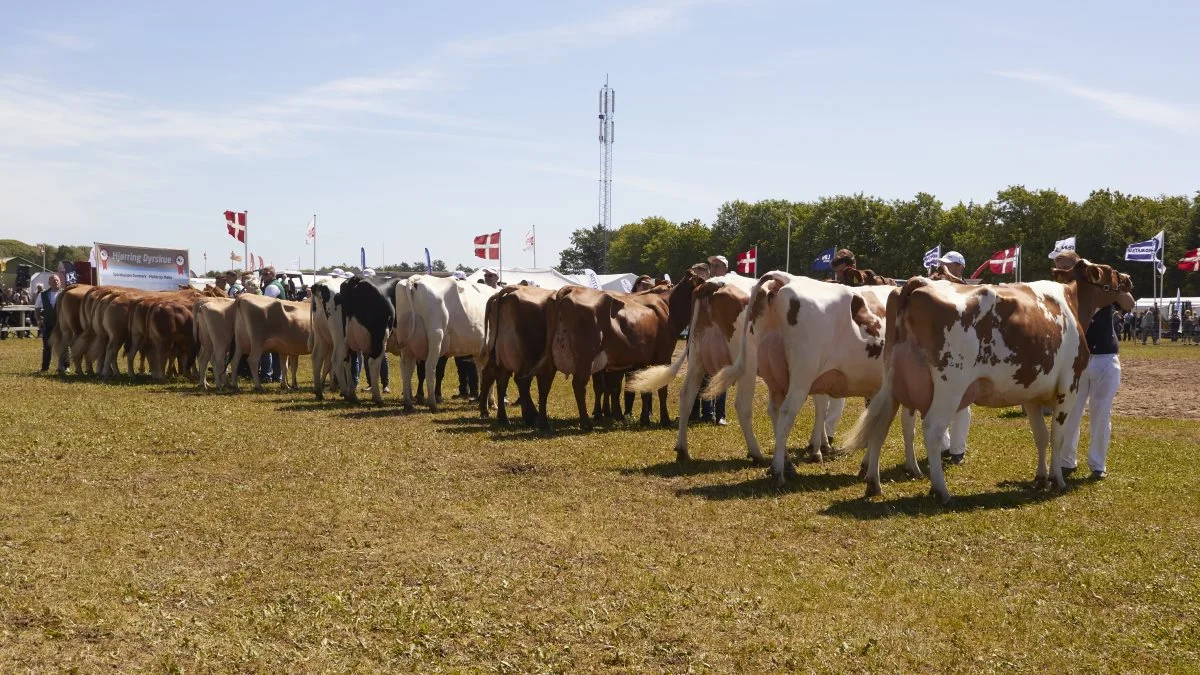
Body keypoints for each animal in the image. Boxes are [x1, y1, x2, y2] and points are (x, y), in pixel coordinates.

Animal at [475, 283, 554, 425]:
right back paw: (532, 417)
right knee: (524, 380)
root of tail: (513, 289)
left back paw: (492, 413)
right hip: (529, 355)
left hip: (499, 353)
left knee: (494, 375)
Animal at [700, 270, 916, 480]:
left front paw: (866, 465)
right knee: (784, 412)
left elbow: (873, 422)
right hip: (800, 376)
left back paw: (786, 465)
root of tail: (786, 278)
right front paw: (912, 467)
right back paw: (777, 470)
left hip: (774, 374)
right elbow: (906, 426)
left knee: (775, 411)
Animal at [849, 260, 1128, 502]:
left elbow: (1040, 435)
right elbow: (1057, 436)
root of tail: (916, 283)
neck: (1072, 301)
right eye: (1111, 272)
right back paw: (941, 490)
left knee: (880, 426)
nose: (1128, 279)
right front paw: (1057, 480)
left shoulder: (1031, 392)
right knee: (932, 430)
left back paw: (874, 484)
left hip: (892, 385)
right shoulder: (1068, 387)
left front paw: (1041, 478)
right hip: (949, 386)